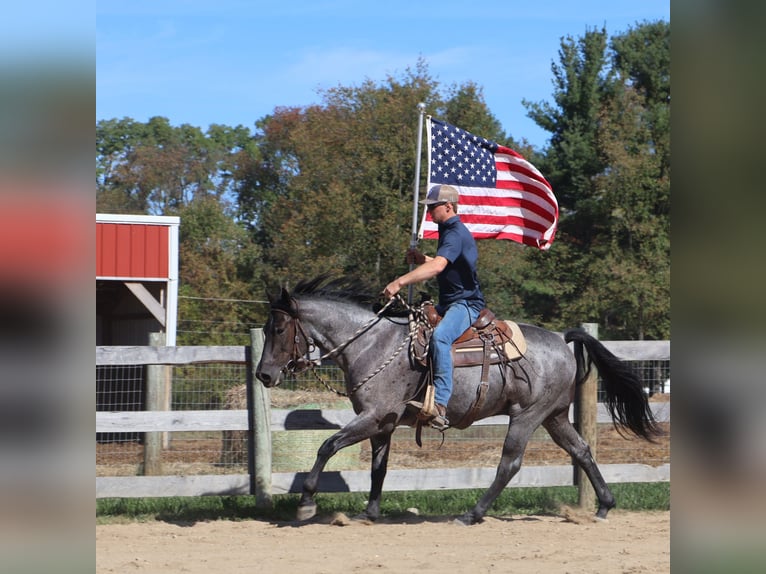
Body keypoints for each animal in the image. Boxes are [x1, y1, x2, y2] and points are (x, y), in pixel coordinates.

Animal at [255, 276, 661, 525]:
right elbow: (378, 468)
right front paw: (370, 512)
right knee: (582, 450)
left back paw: (472, 513)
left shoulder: (373, 416)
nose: (264, 375)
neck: (372, 345)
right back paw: (605, 505)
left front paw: (307, 502)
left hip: (528, 416)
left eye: (279, 328)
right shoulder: (383, 423)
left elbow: (327, 445)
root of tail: (563, 340)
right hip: (555, 416)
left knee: (509, 464)